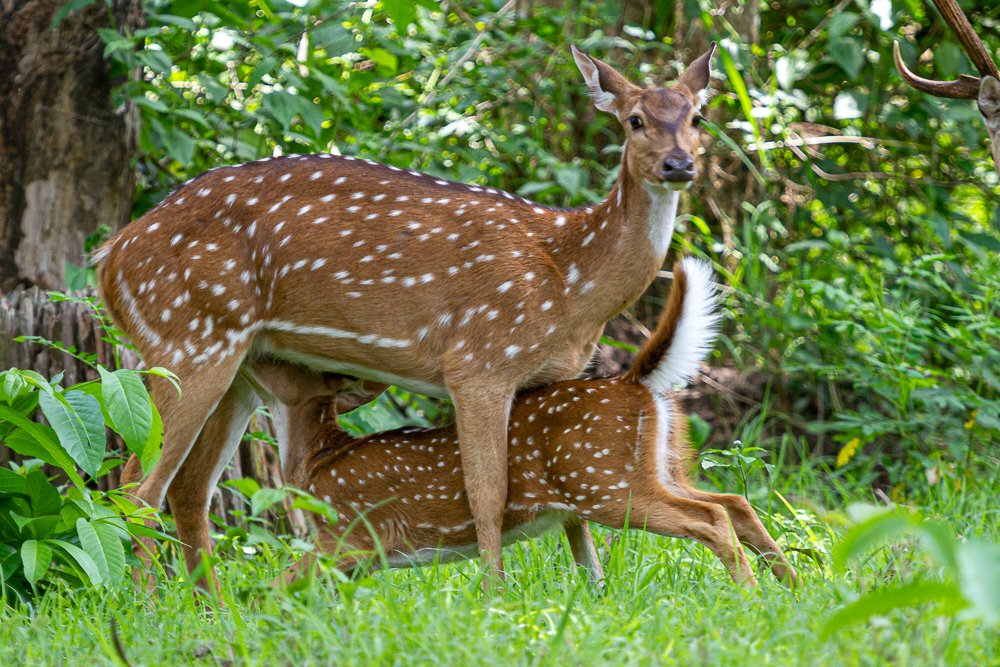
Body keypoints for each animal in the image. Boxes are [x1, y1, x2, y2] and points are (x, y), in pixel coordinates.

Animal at [94, 42, 718, 587]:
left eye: (698, 116)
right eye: (634, 120)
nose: (679, 164)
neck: (569, 281)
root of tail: (109, 258)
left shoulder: (548, 379)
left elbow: (571, 514)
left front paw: (588, 592)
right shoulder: (479, 364)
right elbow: (487, 495)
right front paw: (496, 597)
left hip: (241, 363)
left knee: (189, 490)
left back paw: (213, 611)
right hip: (189, 338)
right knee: (137, 485)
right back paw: (145, 605)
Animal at [248, 258, 795, 586]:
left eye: (287, 366)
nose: (254, 349)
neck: (316, 466)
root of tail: (634, 381)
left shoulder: (351, 534)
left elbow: (273, 586)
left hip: (603, 481)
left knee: (711, 516)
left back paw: (751, 596)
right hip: (662, 465)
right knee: (734, 500)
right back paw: (792, 587)